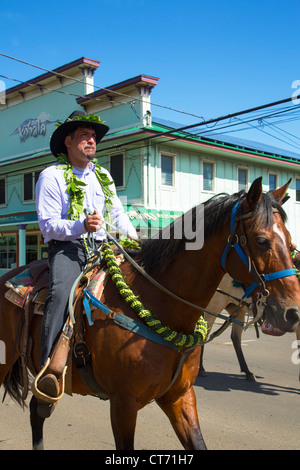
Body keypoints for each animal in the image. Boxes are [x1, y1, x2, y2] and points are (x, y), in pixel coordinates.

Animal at [0, 177, 300, 452]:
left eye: (291, 244)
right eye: (261, 240)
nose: (292, 312)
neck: (161, 306)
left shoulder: (180, 397)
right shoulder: (123, 404)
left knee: (37, 411)